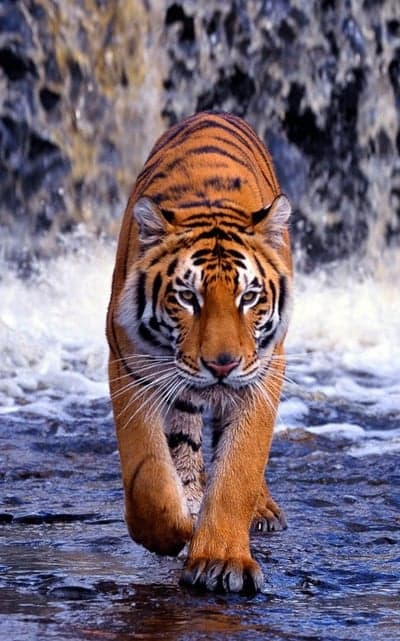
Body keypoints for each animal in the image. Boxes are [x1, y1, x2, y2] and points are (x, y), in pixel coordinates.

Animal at [106, 111, 293, 594]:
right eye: (188, 297)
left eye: (249, 297)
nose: (221, 365)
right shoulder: (131, 366)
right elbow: (148, 473)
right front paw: (171, 532)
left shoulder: (263, 372)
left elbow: (240, 466)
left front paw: (221, 560)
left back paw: (261, 509)